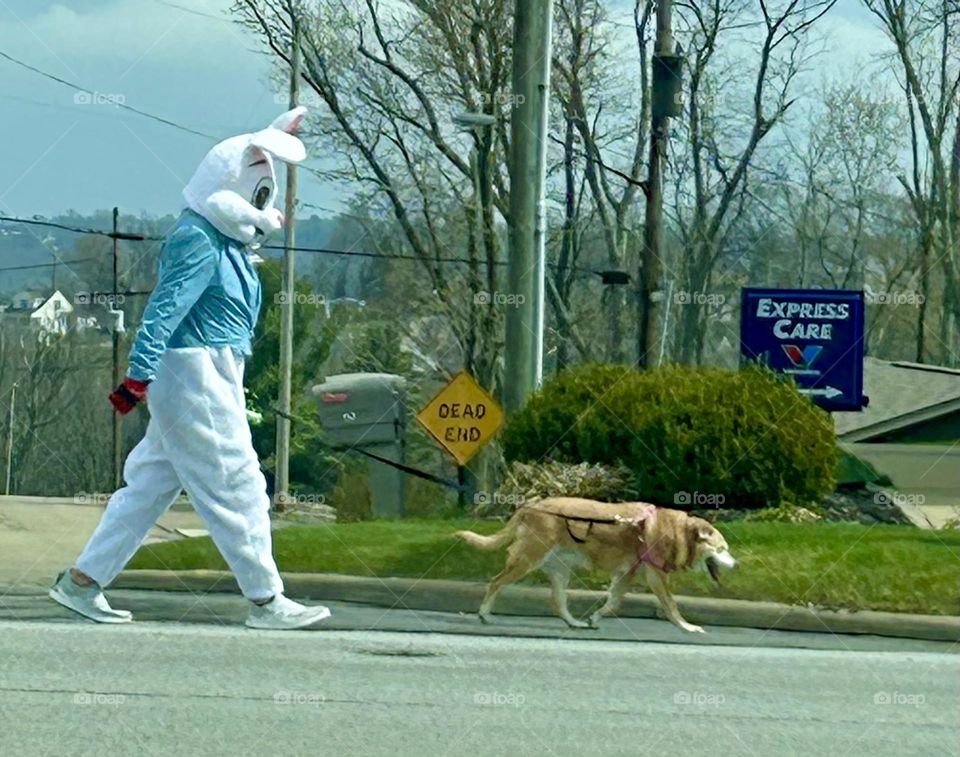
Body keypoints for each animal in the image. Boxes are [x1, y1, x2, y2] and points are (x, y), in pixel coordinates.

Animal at [456, 496, 736, 632]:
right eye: (722, 549)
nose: (737, 565)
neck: (678, 532)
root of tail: (530, 507)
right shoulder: (656, 577)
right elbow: (671, 605)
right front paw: (687, 627)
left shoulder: (627, 574)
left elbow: (613, 602)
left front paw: (595, 617)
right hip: (528, 559)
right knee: (496, 582)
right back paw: (483, 613)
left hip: (560, 568)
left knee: (558, 601)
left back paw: (574, 623)